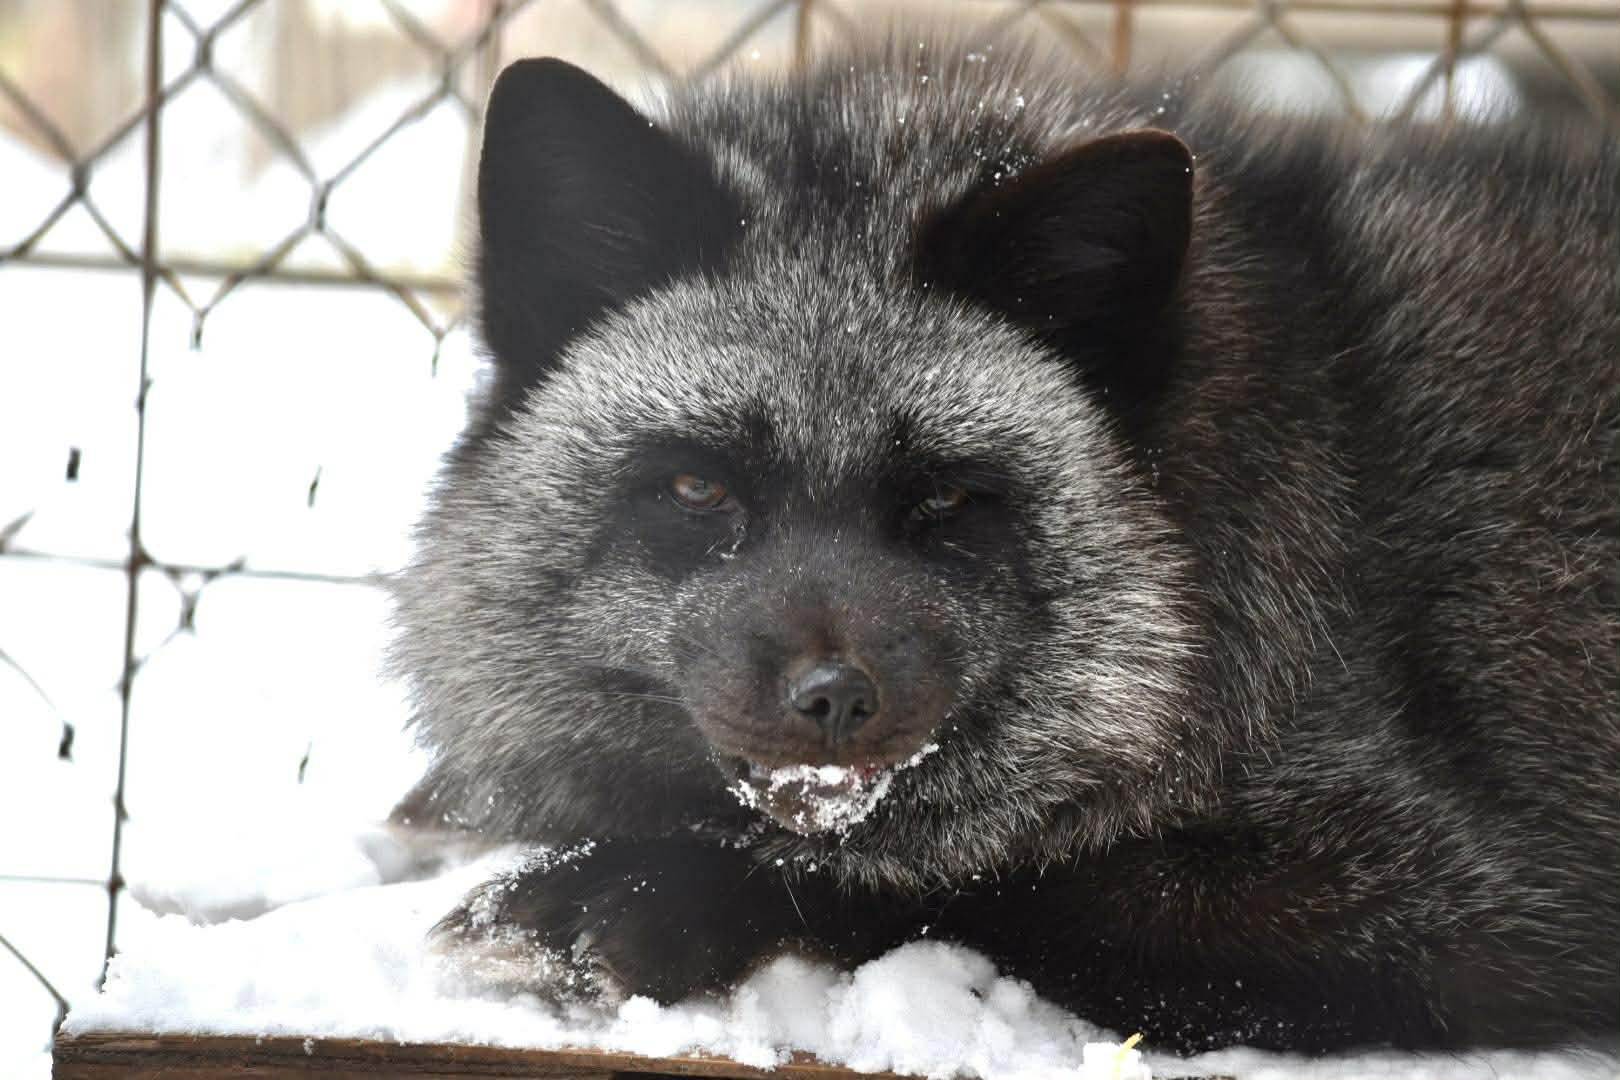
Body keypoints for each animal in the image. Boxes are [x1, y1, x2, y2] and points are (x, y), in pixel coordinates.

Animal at [388, 30, 1620, 1054]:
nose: (833, 699)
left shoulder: (1447, 910)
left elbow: (964, 881)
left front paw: (633, 895)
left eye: (945, 500)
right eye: (698, 487)